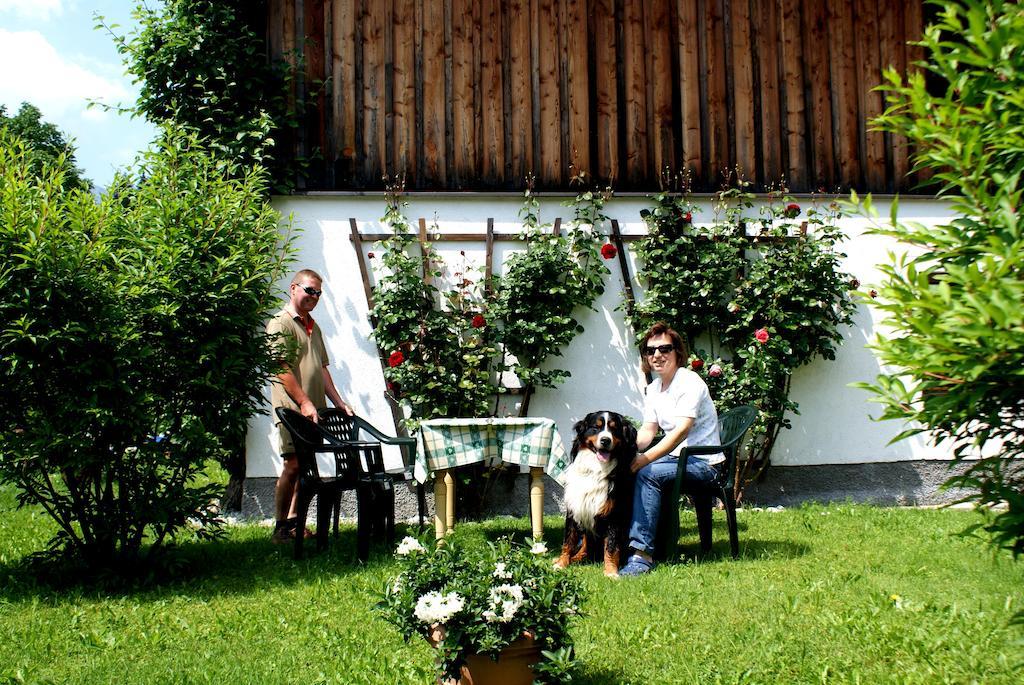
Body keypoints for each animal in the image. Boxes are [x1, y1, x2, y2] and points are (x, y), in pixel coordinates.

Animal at [557, 411, 634, 577]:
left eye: (614, 428)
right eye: (596, 427)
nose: (605, 440)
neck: (595, 470)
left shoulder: (614, 515)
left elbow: (611, 546)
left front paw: (611, 572)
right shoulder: (573, 510)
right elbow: (568, 540)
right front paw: (561, 563)